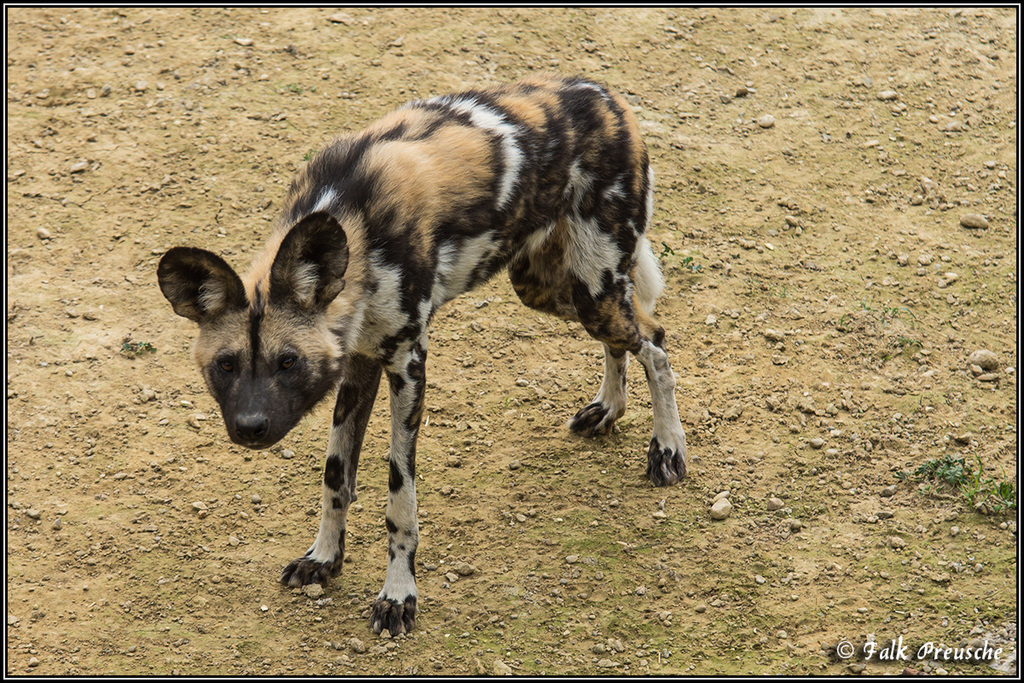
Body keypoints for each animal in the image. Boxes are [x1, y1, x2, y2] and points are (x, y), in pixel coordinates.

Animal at [157, 74, 688, 634]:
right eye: (226, 365)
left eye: (288, 362)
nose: (251, 428)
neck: (357, 226)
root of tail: (604, 93)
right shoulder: (360, 361)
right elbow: (335, 475)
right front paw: (324, 559)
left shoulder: (407, 367)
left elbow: (399, 496)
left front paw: (397, 595)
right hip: (549, 287)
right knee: (631, 336)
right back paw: (609, 408)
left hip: (592, 286)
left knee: (656, 342)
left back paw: (667, 448)